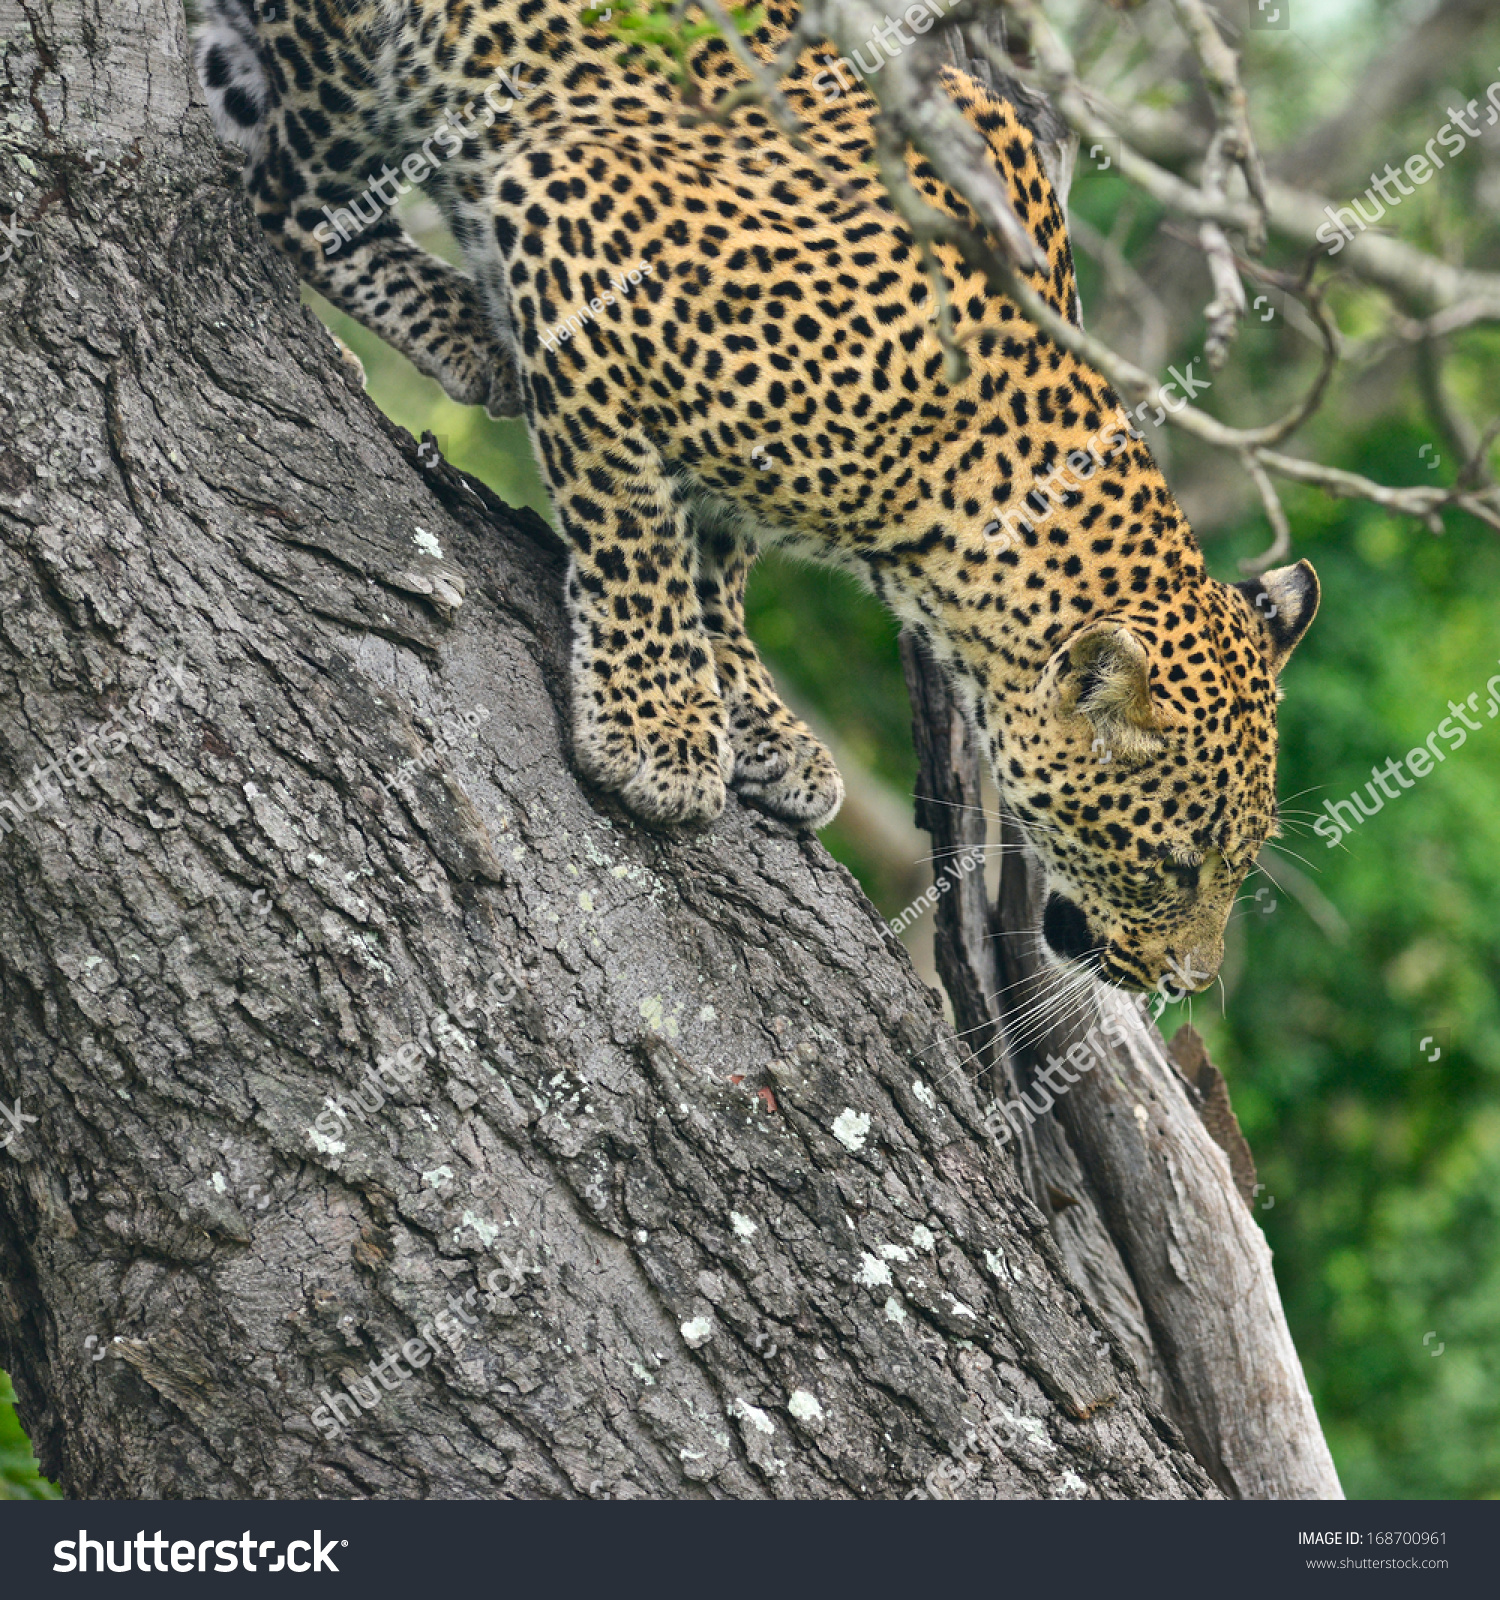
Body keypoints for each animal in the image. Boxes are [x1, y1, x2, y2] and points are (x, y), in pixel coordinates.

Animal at [192, 0, 1317, 992]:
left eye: (1237, 867)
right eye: (1173, 862)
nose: (1185, 979)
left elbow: (717, 556)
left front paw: (756, 716)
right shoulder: (578, 208)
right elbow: (635, 524)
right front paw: (656, 730)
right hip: (364, 59)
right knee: (290, 200)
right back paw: (469, 332)